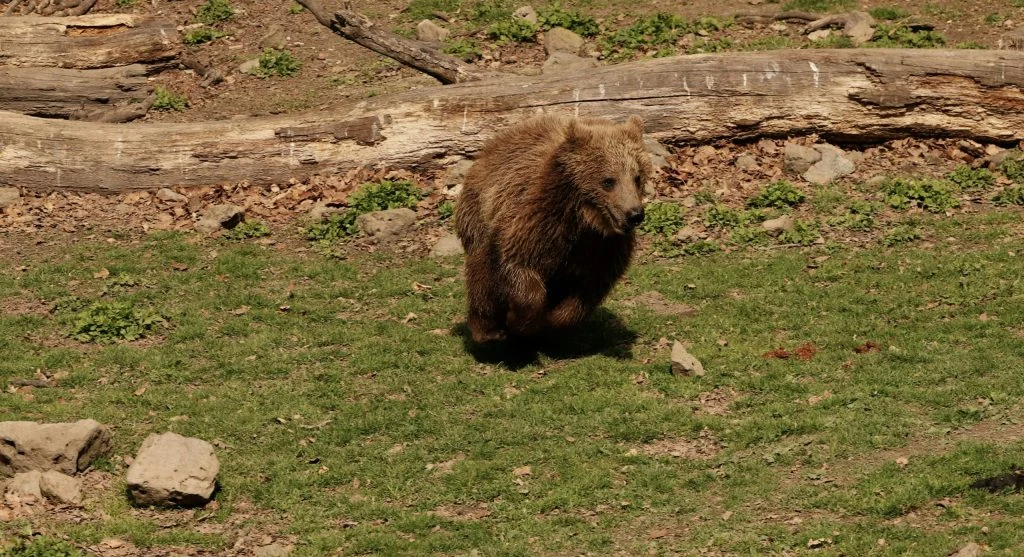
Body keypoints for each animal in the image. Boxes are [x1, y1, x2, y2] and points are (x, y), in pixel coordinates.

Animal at [454, 113, 652, 344]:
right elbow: (516, 262)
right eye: (608, 181)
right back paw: (487, 329)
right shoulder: (539, 219)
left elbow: (585, 291)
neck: (585, 218)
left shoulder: (602, 247)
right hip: (479, 212)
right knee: (481, 270)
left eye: (637, 177)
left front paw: (552, 320)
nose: (634, 214)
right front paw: (518, 323)